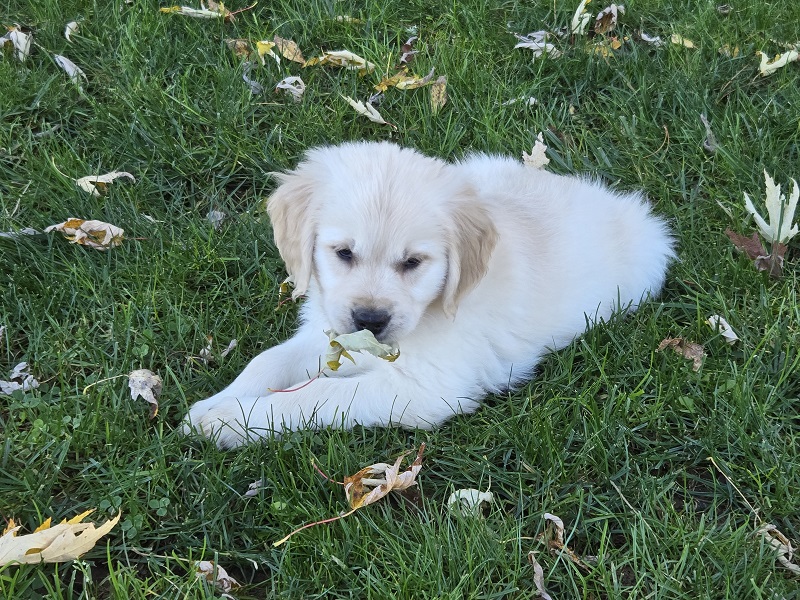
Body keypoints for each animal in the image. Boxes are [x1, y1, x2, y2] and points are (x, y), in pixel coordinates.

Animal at [183, 143, 676, 448]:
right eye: (343, 253)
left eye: (413, 262)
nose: (370, 320)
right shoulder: (330, 331)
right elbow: (266, 361)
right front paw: (212, 406)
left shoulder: (427, 390)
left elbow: (317, 396)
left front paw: (230, 421)